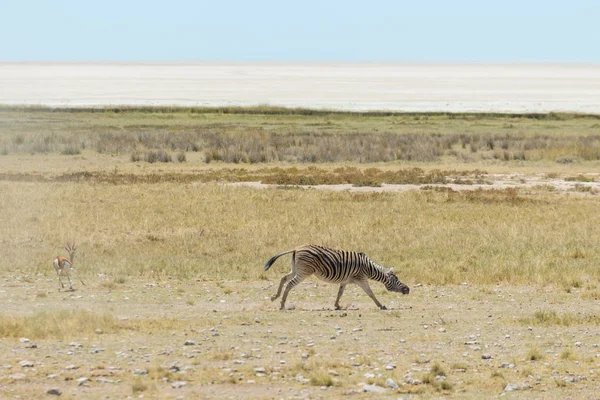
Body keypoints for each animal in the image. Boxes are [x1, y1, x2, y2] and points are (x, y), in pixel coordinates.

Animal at [264, 245, 410, 310]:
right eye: (397, 279)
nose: (408, 289)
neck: (369, 268)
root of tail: (296, 248)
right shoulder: (361, 278)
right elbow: (370, 293)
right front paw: (381, 305)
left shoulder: (345, 281)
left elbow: (340, 293)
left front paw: (337, 305)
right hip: (304, 272)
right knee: (289, 284)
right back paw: (282, 304)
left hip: (296, 269)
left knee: (284, 278)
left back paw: (275, 297)